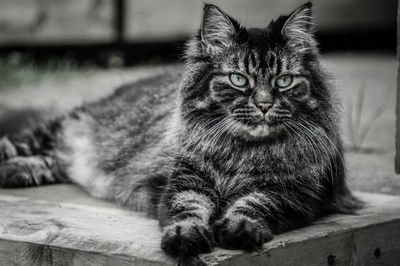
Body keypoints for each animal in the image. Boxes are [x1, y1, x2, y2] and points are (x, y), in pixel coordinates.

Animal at [0, 2, 362, 260]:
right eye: (238, 79)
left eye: (284, 81)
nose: (263, 104)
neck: (242, 152)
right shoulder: (185, 179)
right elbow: (189, 209)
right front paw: (185, 238)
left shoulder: (293, 193)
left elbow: (254, 204)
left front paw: (238, 229)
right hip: (56, 130)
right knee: (22, 146)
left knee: (52, 162)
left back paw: (14, 173)